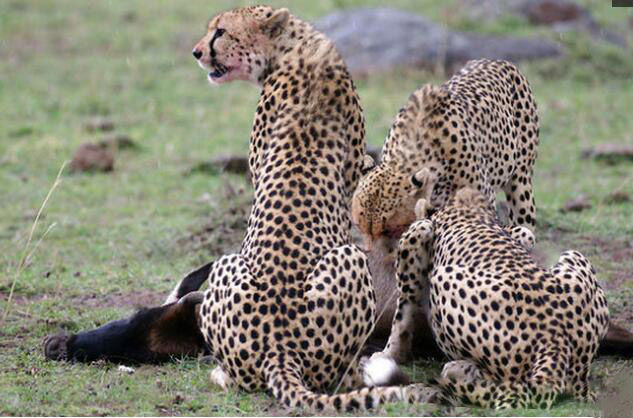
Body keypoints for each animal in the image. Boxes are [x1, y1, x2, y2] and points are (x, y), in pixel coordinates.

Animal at [368, 189, 608, 408]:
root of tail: (555, 337)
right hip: (574, 255)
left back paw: (457, 370)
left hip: (445, 276)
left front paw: (388, 354)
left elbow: (404, 308)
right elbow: (523, 232)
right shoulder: (521, 233)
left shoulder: (419, 232)